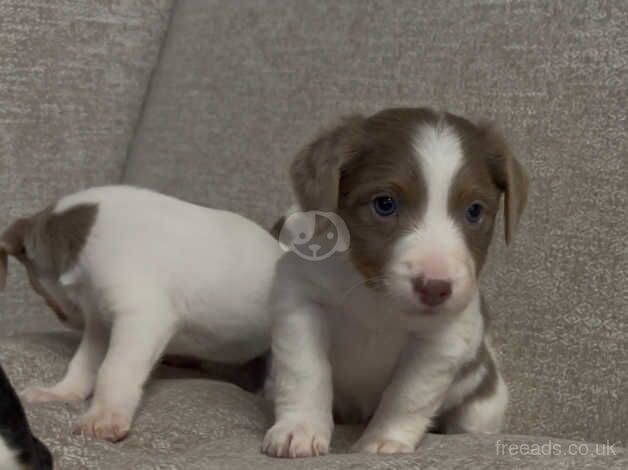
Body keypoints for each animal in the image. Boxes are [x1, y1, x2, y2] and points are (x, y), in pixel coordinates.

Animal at [0, 185, 280, 442]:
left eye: (37, 289)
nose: (63, 318)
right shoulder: (101, 324)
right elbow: (83, 363)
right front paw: (62, 392)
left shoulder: (141, 318)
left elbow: (113, 368)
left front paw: (104, 416)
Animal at [262, 108, 528, 458]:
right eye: (385, 204)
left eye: (474, 211)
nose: (435, 287)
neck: (376, 296)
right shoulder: (300, 300)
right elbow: (305, 371)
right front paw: (300, 428)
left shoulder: (442, 341)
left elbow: (408, 395)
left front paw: (384, 440)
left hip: (483, 405)